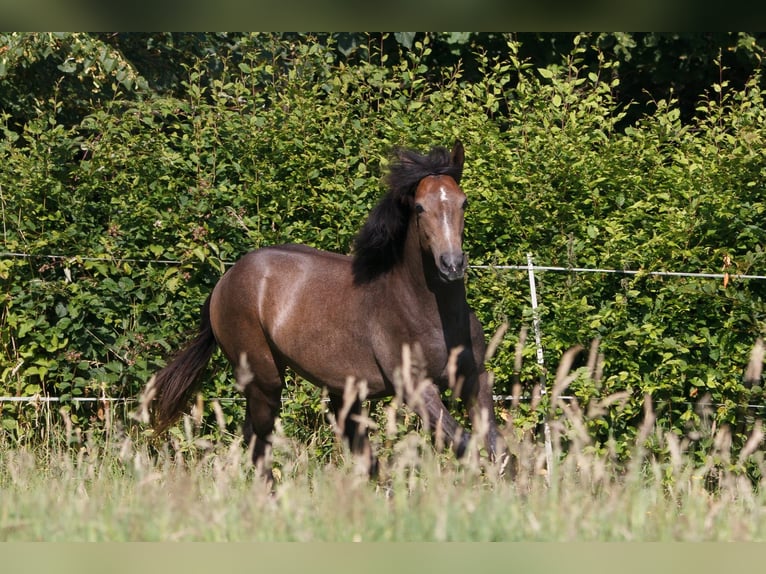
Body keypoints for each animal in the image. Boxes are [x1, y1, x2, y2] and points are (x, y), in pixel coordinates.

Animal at [150, 140, 506, 480]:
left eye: (463, 202)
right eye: (419, 207)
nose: (452, 265)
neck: (428, 311)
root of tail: (225, 280)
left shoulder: (475, 378)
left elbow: (498, 450)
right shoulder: (417, 388)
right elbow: (465, 445)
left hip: (339, 391)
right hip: (264, 380)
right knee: (258, 439)